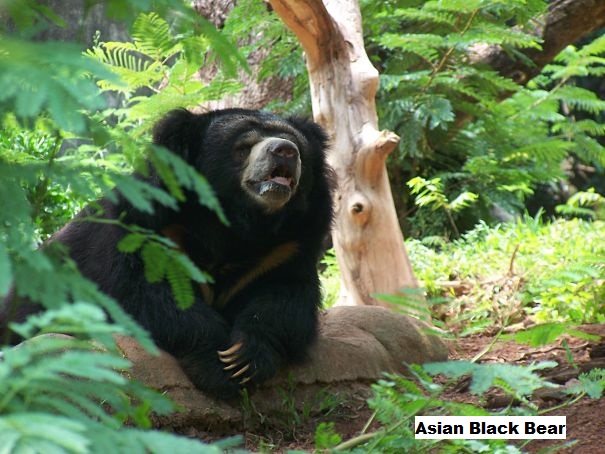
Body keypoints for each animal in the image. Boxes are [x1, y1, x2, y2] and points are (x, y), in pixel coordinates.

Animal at [2, 110, 332, 400]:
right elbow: (143, 294)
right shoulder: (145, 230)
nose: (285, 151)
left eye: (297, 145)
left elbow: (285, 299)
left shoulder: (284, 249)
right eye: (243, 147)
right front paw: (217, 366)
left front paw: (244, 358)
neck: (238, 226)